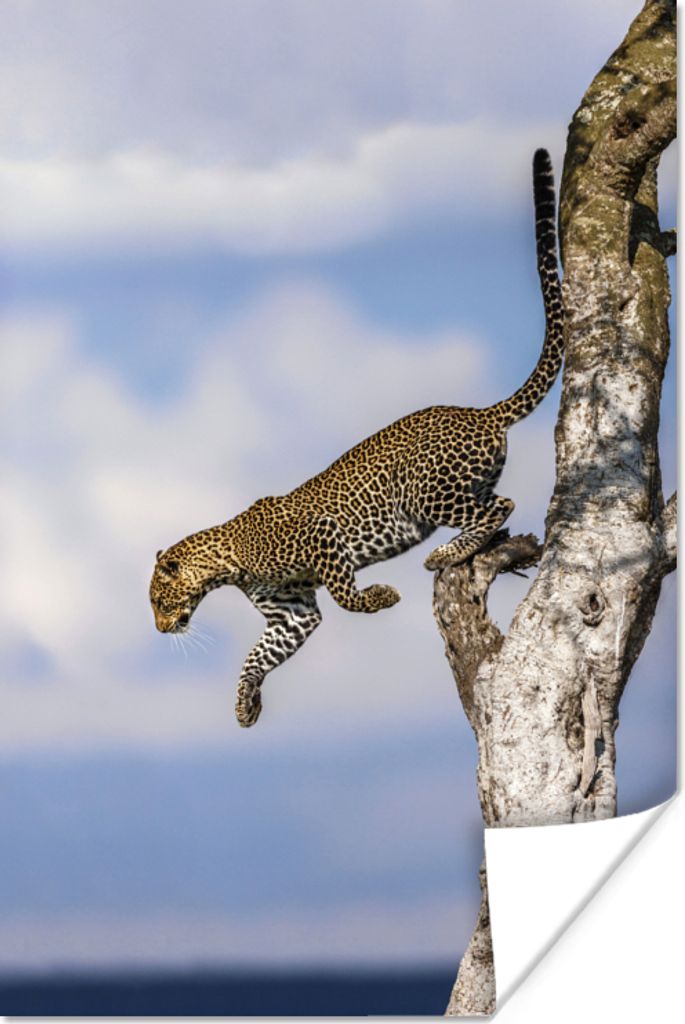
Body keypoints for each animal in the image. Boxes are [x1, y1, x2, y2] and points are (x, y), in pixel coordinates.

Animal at [149, 149, 563, 729]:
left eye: (159, 599)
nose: (162, 629)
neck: (227, 562)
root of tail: (481, 412)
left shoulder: (323, 540)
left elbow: (347, 595)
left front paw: (383, 595)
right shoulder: (293, 613)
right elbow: (259, 655)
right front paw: (245, 704)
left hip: (426, 491)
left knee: (498, 506)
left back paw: (445, 553)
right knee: (495, 507)